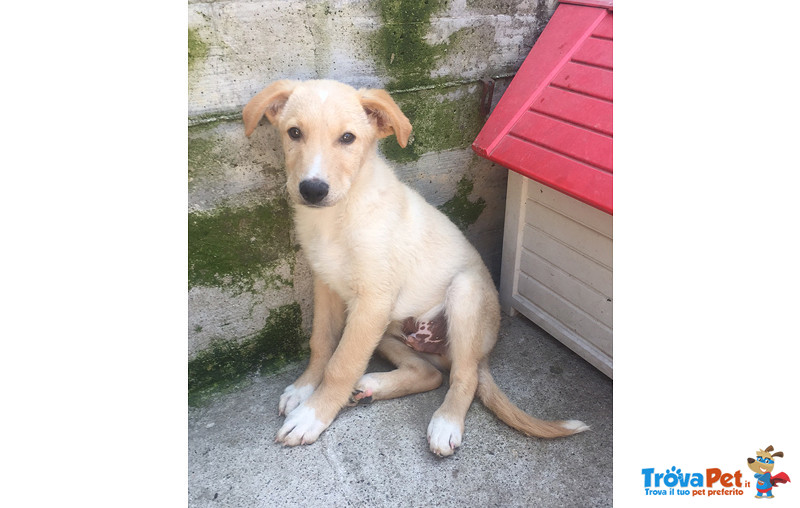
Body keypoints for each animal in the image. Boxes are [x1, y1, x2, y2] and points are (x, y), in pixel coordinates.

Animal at [242, 80, 588, 456]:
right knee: (430, 373)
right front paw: (303, 389)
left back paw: (446, 422)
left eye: (347, 138)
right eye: (294, 133)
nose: (312, 189)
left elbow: (342, 364)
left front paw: (312, 415)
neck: (338, 216)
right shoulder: (328, 287)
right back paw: (371, 386)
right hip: (387, 330)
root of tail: (482, 352)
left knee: (463, 377)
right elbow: (321, 343)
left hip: (463, 295)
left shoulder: (373, 300)